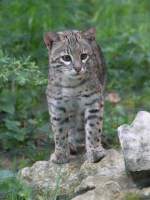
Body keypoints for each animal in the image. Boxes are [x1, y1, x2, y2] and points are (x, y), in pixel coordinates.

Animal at [44, 27, 106, 163]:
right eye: (66, 58)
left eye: (84, 56)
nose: (77, 68)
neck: (72, 85)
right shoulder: (57, 106)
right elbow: (59, 131)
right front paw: (61, 154)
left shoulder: (93, 103)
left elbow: (93, 128)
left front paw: (94, 151)